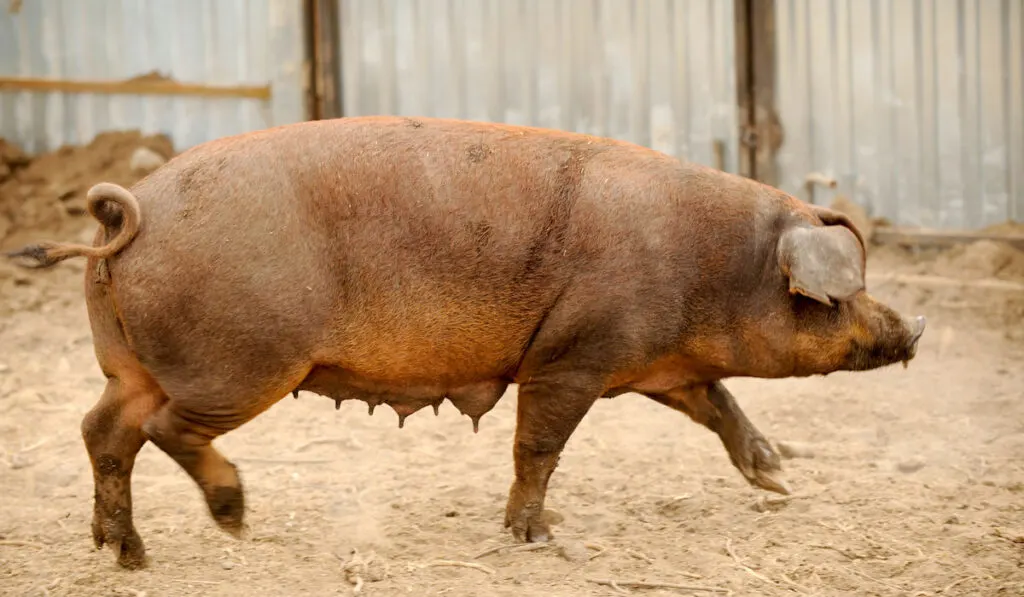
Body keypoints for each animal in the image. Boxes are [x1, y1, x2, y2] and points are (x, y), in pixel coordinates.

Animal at [4, 116, 925, 569]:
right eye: (846, 292)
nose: (915, 326)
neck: (710, 268)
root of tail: (126, 217)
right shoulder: (574, 354)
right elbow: (539, 445)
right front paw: (536, 537)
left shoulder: (657, 361)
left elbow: (718, 402)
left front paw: (778, 478)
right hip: (244, 361)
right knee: (165, 430)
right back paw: (232, 520)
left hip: (131, 365)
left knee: (103, 429)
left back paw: (126, 556)